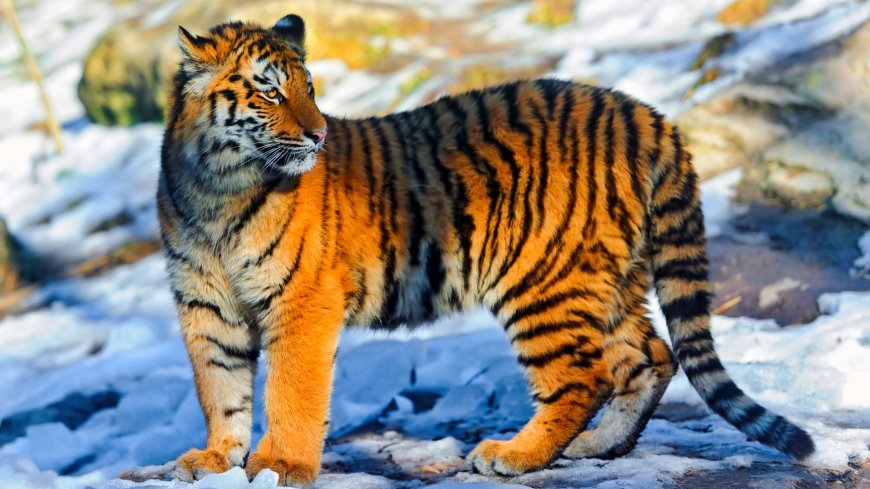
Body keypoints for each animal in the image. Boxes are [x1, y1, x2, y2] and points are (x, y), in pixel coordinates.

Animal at [157, 14, 815, 486]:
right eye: (270, 92)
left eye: (311, 90)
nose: (319, 134)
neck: (217, 188)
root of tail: (643, 113)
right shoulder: (206, 305)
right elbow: (220, 387)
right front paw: (216, 460)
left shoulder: (302, 299)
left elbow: (291, 389)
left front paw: (280, 465)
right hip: (608, 277)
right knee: (650, 355)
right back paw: (599, 446)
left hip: (541, 279)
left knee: (583, 375)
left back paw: (514, 455)